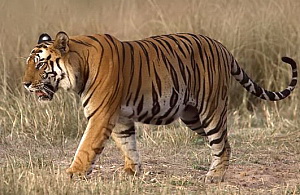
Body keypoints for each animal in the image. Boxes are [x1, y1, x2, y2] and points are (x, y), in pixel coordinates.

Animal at [22, 31, 298, 183]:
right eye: (29, 63)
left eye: (40, 64)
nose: (25, 84)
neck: (80, 66)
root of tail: (222, 47)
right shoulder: (119, 117)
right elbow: (128, 144)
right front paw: (131, 171)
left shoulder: (101, 115)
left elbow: (86, 147)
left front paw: (72, 173)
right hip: (193, 117)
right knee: (223, 142)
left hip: (211, 109)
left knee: (222, 143)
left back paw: (215, 177)